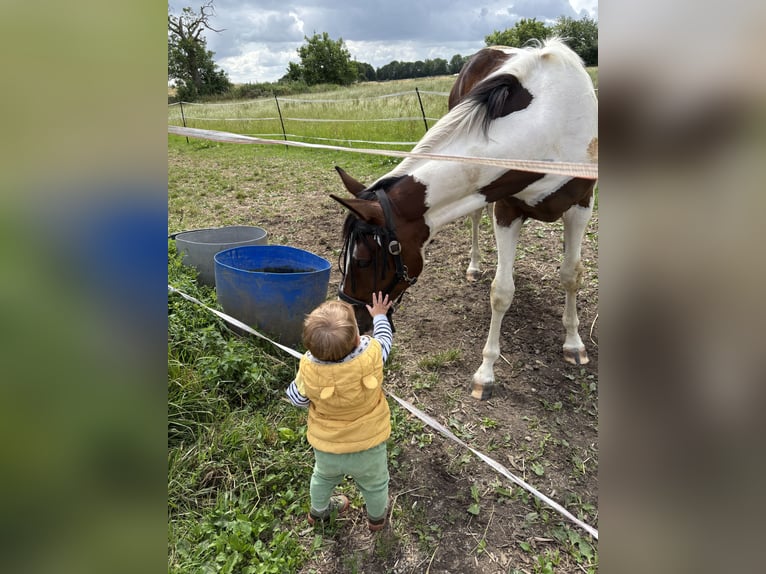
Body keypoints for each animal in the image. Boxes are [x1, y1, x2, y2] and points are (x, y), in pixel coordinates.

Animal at [331, 38, 598, 399]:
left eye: (361, 260)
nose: (353, 319)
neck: (550, 125)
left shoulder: (581, 207)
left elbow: (570, 276)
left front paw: (573, 343)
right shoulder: (506, 210)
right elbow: (502, 291)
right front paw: (486, 372)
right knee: (474, 218)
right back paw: (474, 266)